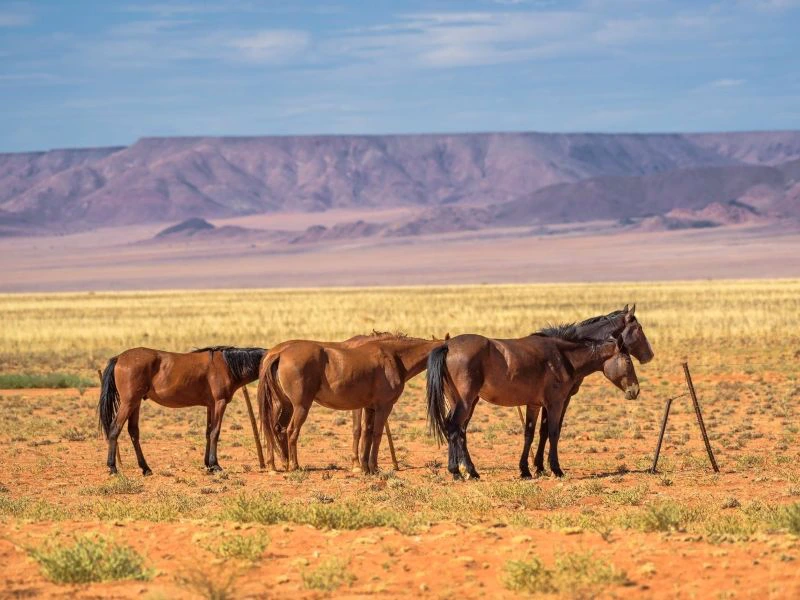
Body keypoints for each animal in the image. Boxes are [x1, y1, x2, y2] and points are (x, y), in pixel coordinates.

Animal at [98, 346, 265, 475]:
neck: (227, 365)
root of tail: (119, 358)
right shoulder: (219, 403)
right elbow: (215, 433)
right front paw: (215, 465)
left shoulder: (210, 406)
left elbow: (208, 433)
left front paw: (208, 465)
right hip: (128, 403)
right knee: (114, 429)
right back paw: (113, 468)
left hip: (135, 403)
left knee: (133, 432)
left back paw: (145, 468)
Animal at [258, 333, 445, 474]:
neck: (392, 357)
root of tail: (279, 354)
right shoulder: (383, 407)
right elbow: (375, 434)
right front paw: (373, 467)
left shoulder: (369, 407)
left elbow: (366, 433)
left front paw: (364, 466)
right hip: (300, 406)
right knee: (291, 431)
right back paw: (294, 466)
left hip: (284, 405)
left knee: (274, 429)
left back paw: (277, 464)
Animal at [426, 306, 652, 479]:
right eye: (628, 361)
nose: (635, 390)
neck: (563, 356)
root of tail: (447, 345)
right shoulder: (557, 403)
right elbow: (553, 432)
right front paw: (555, 469)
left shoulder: (535, 404)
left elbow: (532, 433)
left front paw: (528, 469)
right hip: (465, 402)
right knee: (454, 427)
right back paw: (456, 472)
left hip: (465, 401)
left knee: (459, 430)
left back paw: (471, 472)